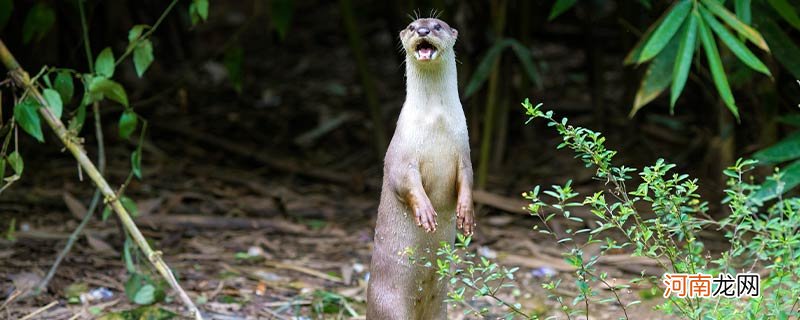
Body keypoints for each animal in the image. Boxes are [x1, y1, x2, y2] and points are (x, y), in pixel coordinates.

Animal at [368, 18, 476, 320]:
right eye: (412, 25)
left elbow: (468, 178)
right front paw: (426, 212)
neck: (435, 122)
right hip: (390, 307)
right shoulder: (401, 153)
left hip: (441, 311)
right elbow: (404, 181)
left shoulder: (464, 151)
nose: (424, 31)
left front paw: (466, 212)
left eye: (437, 25)